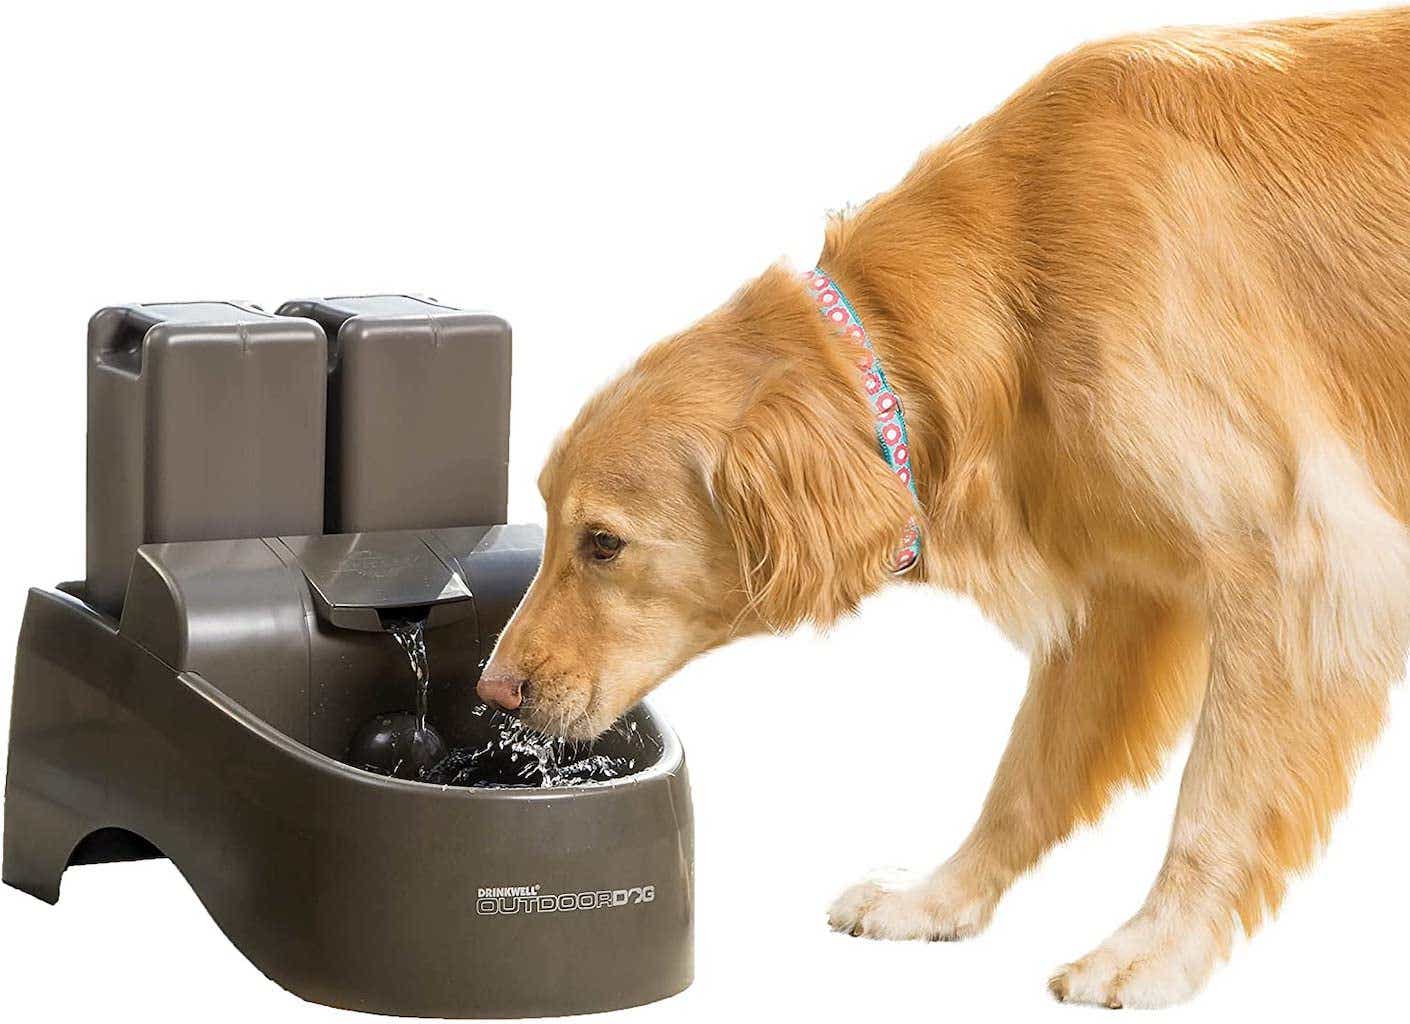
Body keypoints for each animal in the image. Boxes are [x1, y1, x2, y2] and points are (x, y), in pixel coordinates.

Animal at [476, 8, 1410, 1015]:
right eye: (546, 529)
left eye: (603, 544)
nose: (495, 690)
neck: (1021, 276)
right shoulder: (1119, 590)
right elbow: (1026, 773)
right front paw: (938, 896)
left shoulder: (1298, 561)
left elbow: (1212, 797)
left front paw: (1155, 948)